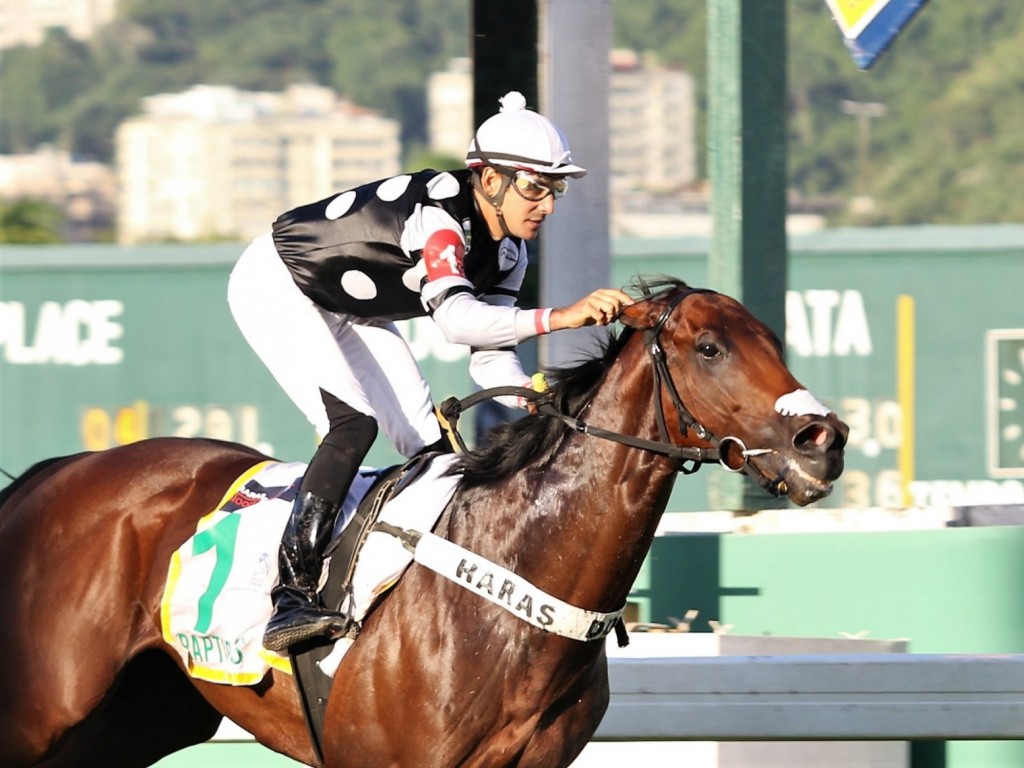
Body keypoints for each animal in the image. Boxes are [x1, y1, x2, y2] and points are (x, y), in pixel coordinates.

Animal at [0, 280, 847, 765]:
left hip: (136, 718)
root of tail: (50, 474)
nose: (824, 440)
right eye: (708, 347)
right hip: (39, 716)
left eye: (775, 340)